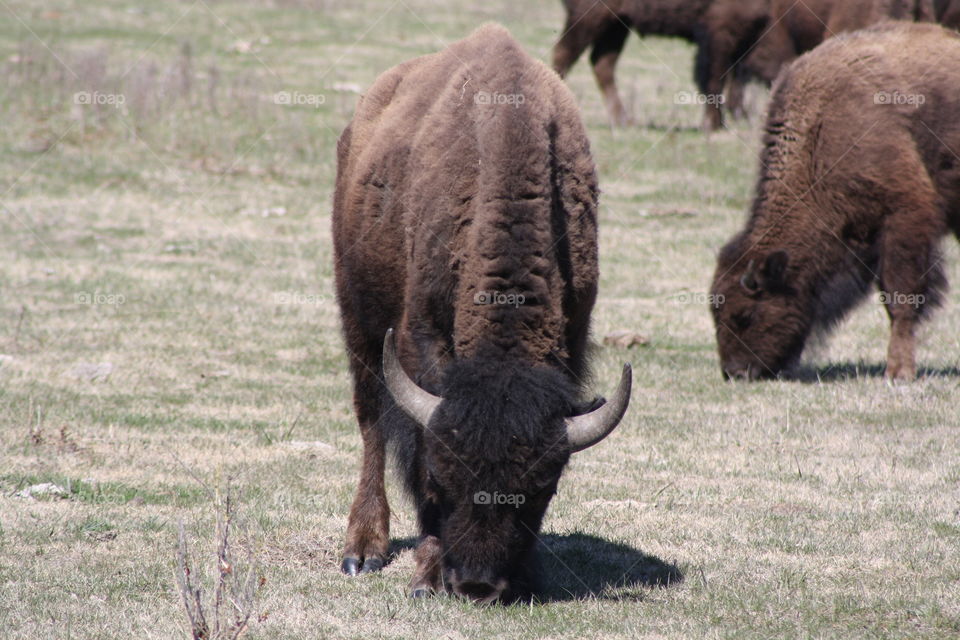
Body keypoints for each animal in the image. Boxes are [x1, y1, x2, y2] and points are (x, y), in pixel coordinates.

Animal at [333, 24, 632, 602]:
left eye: (541, 488)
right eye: (444, 475)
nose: (476, 585)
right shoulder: (419, 338)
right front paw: (426, 576)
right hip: (356, 318)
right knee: (370, 421)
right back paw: (362, 550)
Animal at [711, 22, 960, 381]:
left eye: (745, 315)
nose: (735, 372)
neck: (820, 130)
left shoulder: (905, 216)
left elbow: (900, 298)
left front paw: (898, 371)